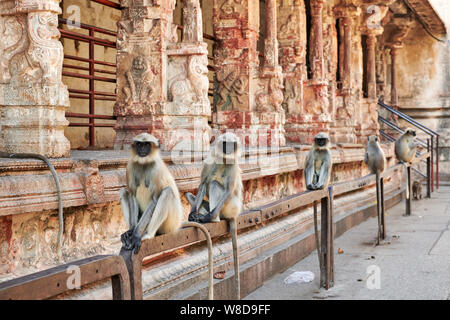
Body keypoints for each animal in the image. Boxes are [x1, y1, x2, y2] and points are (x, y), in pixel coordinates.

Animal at [120, 133, 215, 300]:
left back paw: (147, 235)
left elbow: (155, 199)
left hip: (169, 224)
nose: (142, 150)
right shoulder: (130, 166)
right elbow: (131, 194)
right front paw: (131, 232)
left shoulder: (156, 169)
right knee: (125, 191)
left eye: (147, 145)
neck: (144, 164)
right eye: (139, 144)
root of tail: (177, 224)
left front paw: (136, 235)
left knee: (167, 192)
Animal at [185, 132, 244, 300]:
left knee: (215, 185)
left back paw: (211, 218)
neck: (223, 159)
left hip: (231, 207)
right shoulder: (209, 160)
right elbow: (202, 184)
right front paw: (192, 215)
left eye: (232, 144)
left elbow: (228, 190)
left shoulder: (233, 164)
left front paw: (206, 218)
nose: (229, 149)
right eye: (225, 144)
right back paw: (199, 215)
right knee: (195, 192)